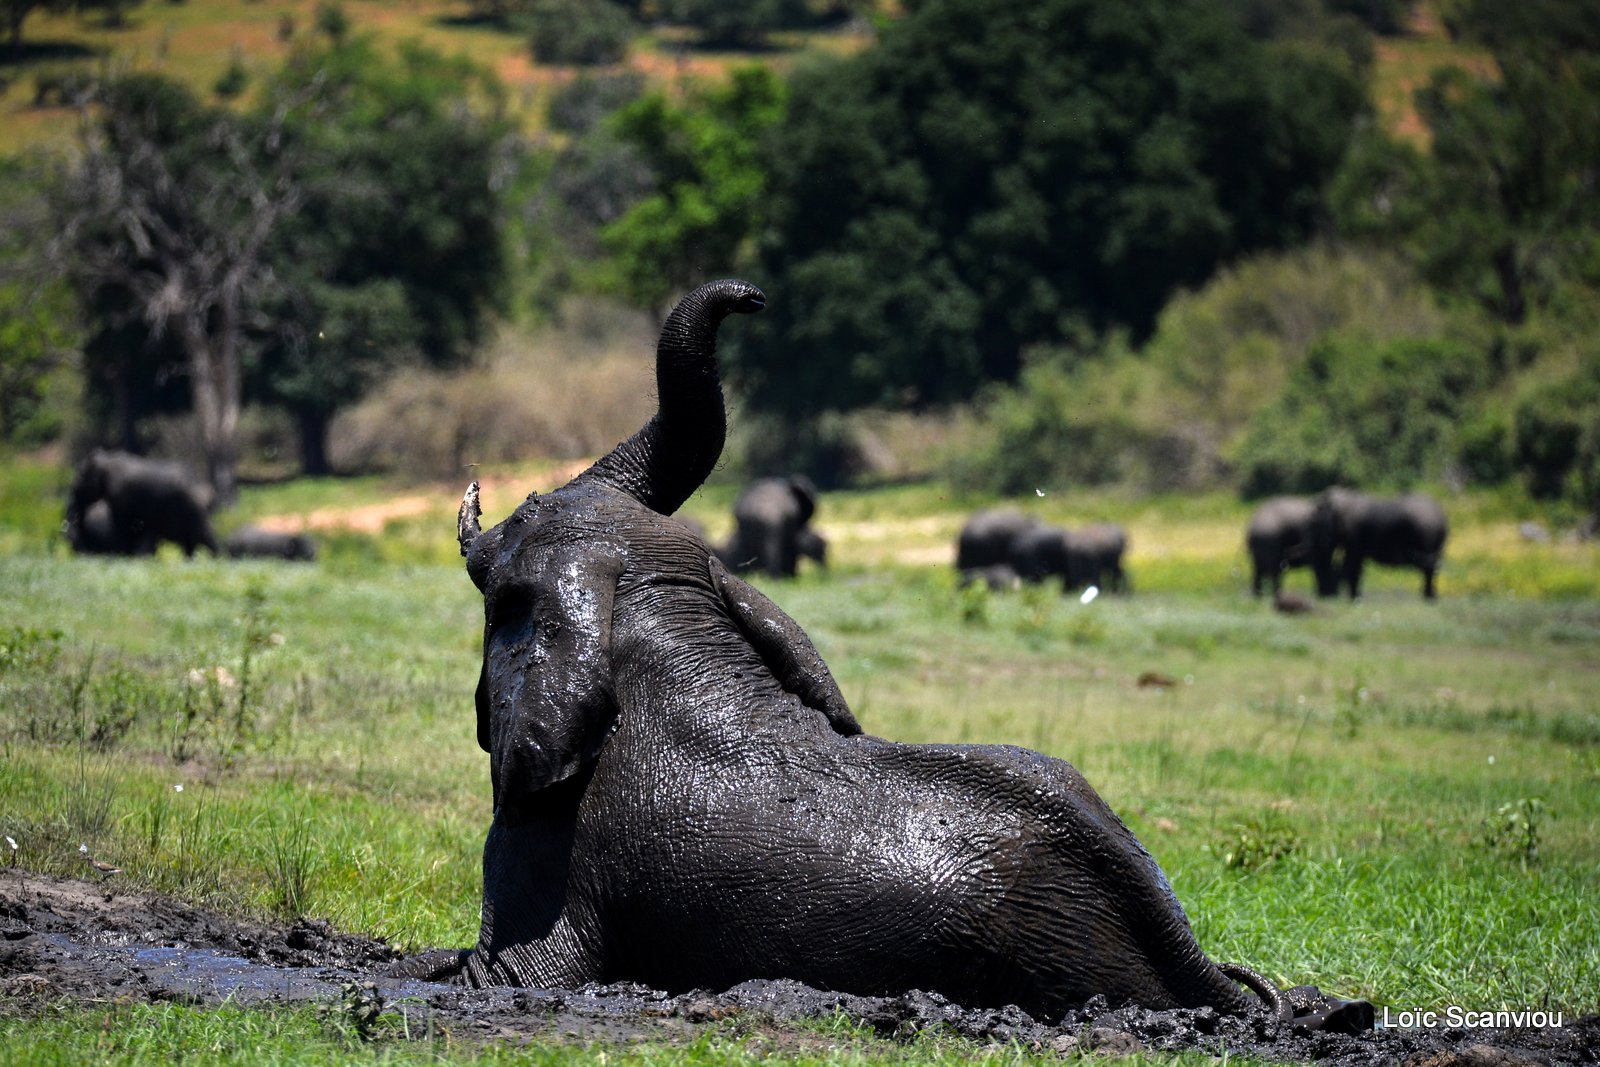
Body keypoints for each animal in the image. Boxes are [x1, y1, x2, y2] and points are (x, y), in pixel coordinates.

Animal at [64, 447, 219, 559]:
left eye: (76, 487)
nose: (67, 526)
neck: (105, 459)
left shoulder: (118, 496)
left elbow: (122, 525)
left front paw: (124, 554)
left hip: (191, 510)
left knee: (202, 536)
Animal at [416, 281, 1376, 1036]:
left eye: (517, 538)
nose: (755, 297)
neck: (660, 621)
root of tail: (1201, 971)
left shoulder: (554, 852)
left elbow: (503, 974)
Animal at [1312, 486, 1452, 598]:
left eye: (1319, 515)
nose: (1324, 593)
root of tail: (1442, 515)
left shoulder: (1354, 546)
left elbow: (1353, 570)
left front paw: (1354, 596)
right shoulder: (1356, 549)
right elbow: (1355, 570)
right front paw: (1355, 595)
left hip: (1428, 547)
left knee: (1429, 570)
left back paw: (1429, 596)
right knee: (1430, 570)